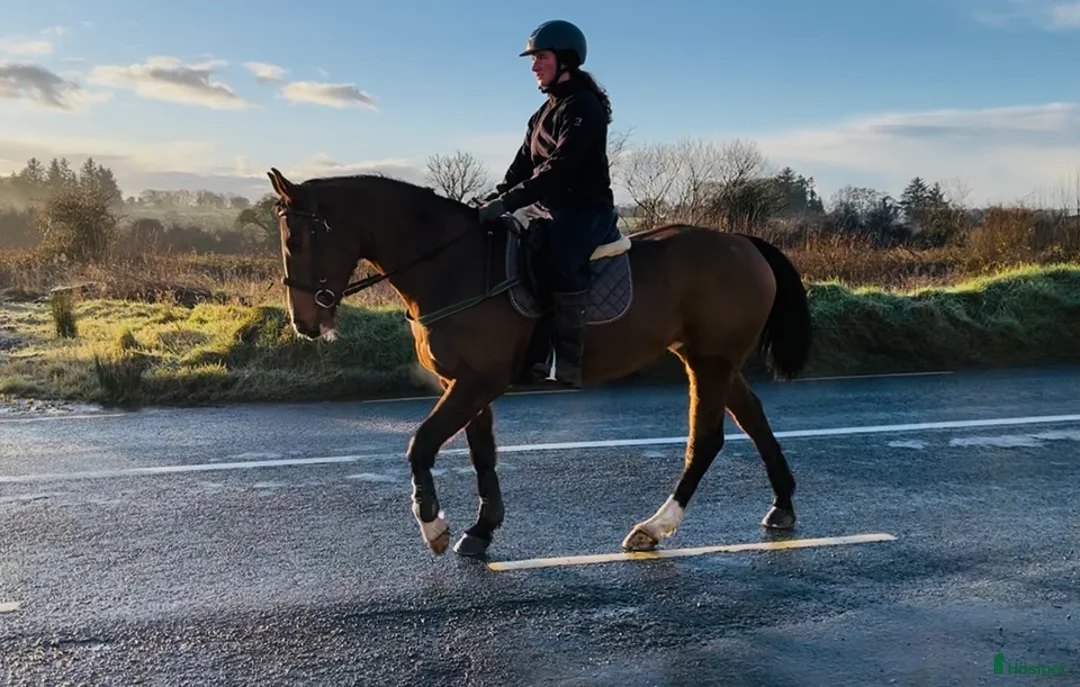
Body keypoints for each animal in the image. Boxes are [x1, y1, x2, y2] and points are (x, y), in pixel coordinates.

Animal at [265, 167, 812, 559]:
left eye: (299, 240)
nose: (304, 322)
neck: (453, 264)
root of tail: (743, 243)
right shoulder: (466, 383)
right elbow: (482, 453)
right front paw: (481, 530)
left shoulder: (476, 382)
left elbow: (420, 444)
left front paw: (433, 525)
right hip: (710, 358)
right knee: (754, 418)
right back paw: (782, 505)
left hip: (709, 362)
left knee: (707, 440)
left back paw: (655, 527)